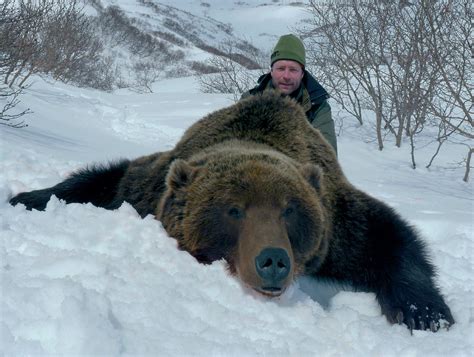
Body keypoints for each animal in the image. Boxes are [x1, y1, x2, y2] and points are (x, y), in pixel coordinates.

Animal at [10, 91, 456, 330]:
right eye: (233, 210)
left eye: (290, 210)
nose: (273, 260)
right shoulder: (149, 187)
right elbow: (104, 180)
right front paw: (28, 198)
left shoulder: (339, 220)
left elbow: (390, 238)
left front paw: (426, 313)